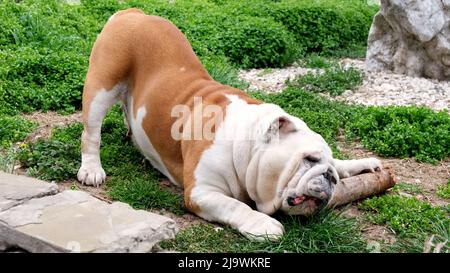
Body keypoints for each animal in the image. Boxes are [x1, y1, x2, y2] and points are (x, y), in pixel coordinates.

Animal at [76, 7, 380, 238]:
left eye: (332, 170)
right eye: (309, 159)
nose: (330, 177)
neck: (246, 146)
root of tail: (132, 12)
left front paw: (360, 165)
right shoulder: (202, 192)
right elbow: (236, 207)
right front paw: (264, 224)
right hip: (101, 86)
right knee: (91, 132)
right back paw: (91, 169)